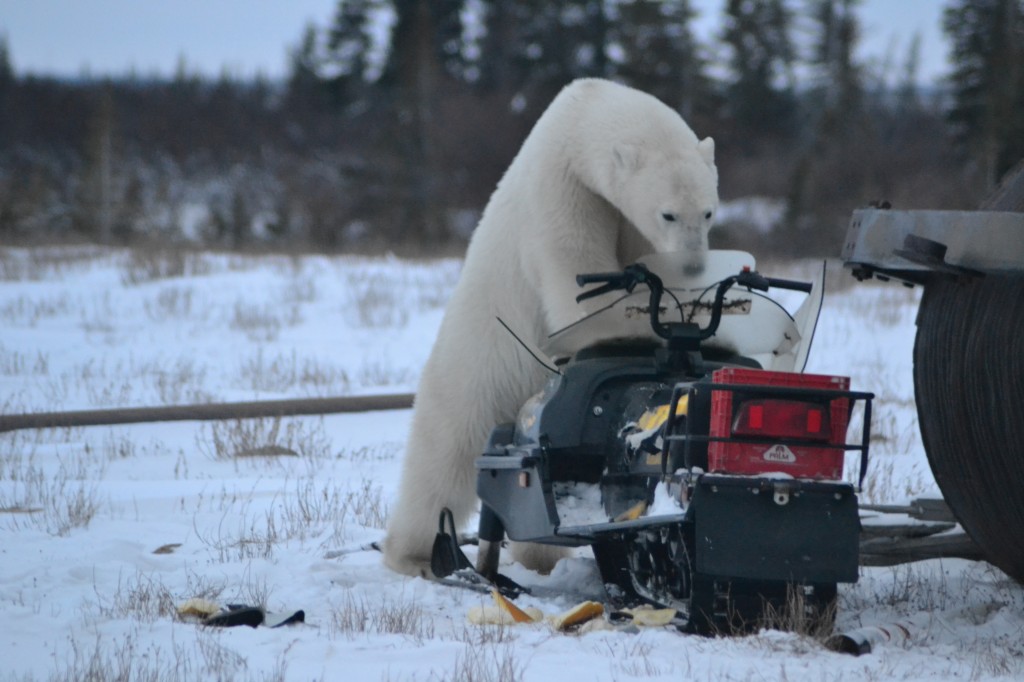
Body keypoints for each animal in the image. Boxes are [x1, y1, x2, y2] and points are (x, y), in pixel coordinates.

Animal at [382, 78, 719, 578]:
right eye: (669, 213)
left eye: (709, 212)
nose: (696, 264)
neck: (584, 111)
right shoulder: (563, 191)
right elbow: (577, 271)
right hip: (476, 366)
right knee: (444, 453)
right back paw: (416, 555)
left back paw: (541, 558)